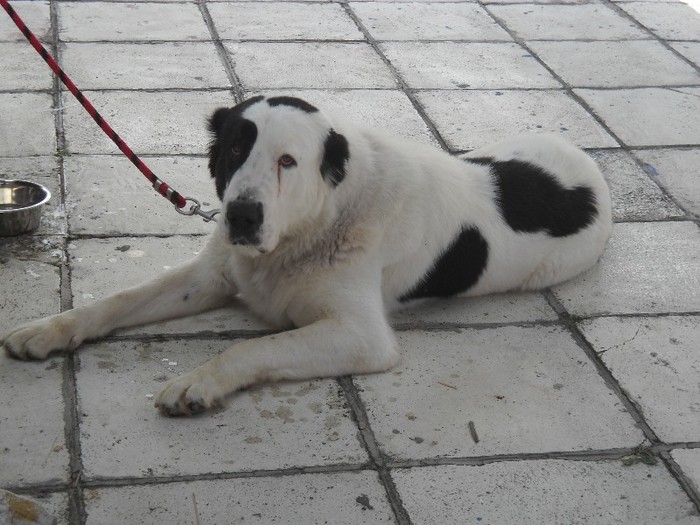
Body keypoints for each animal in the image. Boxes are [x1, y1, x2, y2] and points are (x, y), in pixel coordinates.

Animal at [1, 93, 612, 414]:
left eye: (287, 161)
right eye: (234, 150)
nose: (241, 217)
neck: (319, 219)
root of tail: (589, 166)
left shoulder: (361, 336)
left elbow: (253, 347)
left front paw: (199, 382)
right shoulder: (212, 275)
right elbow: (119, 299)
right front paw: (49, 330)